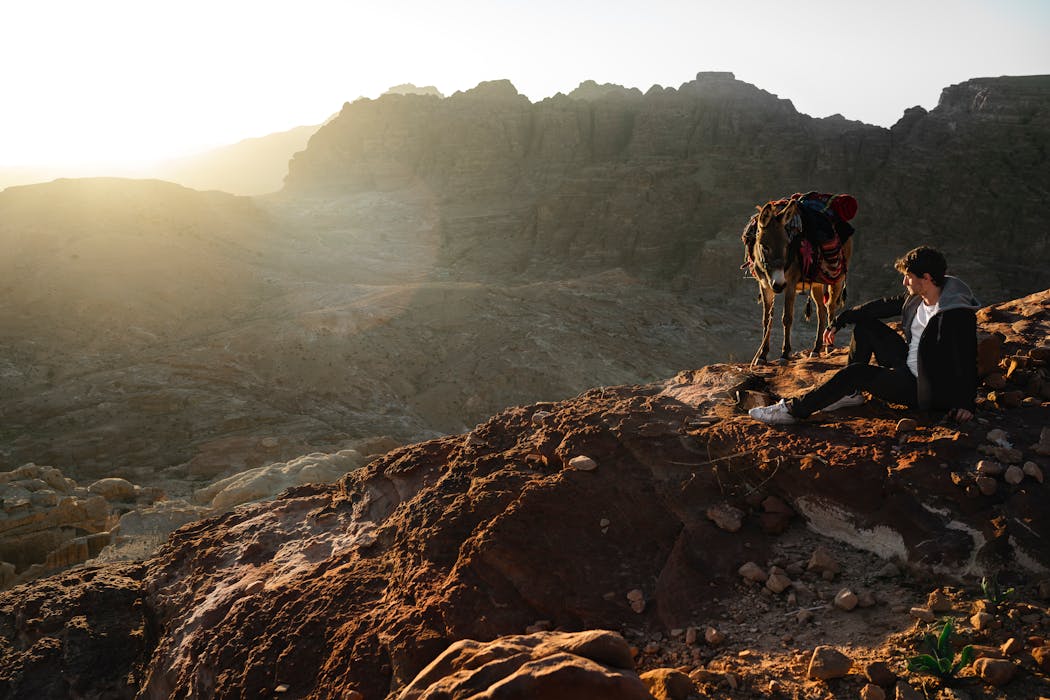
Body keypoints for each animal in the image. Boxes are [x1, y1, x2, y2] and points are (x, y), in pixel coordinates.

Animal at [744, 198, 853, 366]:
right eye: (764, 247)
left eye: (786, 245)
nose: (778, 285)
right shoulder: (764, 285)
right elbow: (766, 320)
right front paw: (762, 356)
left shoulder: (790, 284)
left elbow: (787, 318)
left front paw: (785, 353)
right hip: (816, 284)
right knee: (821, 311)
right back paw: (816, 349)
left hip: (837, 278)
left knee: (830, 308)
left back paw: (829, 346)